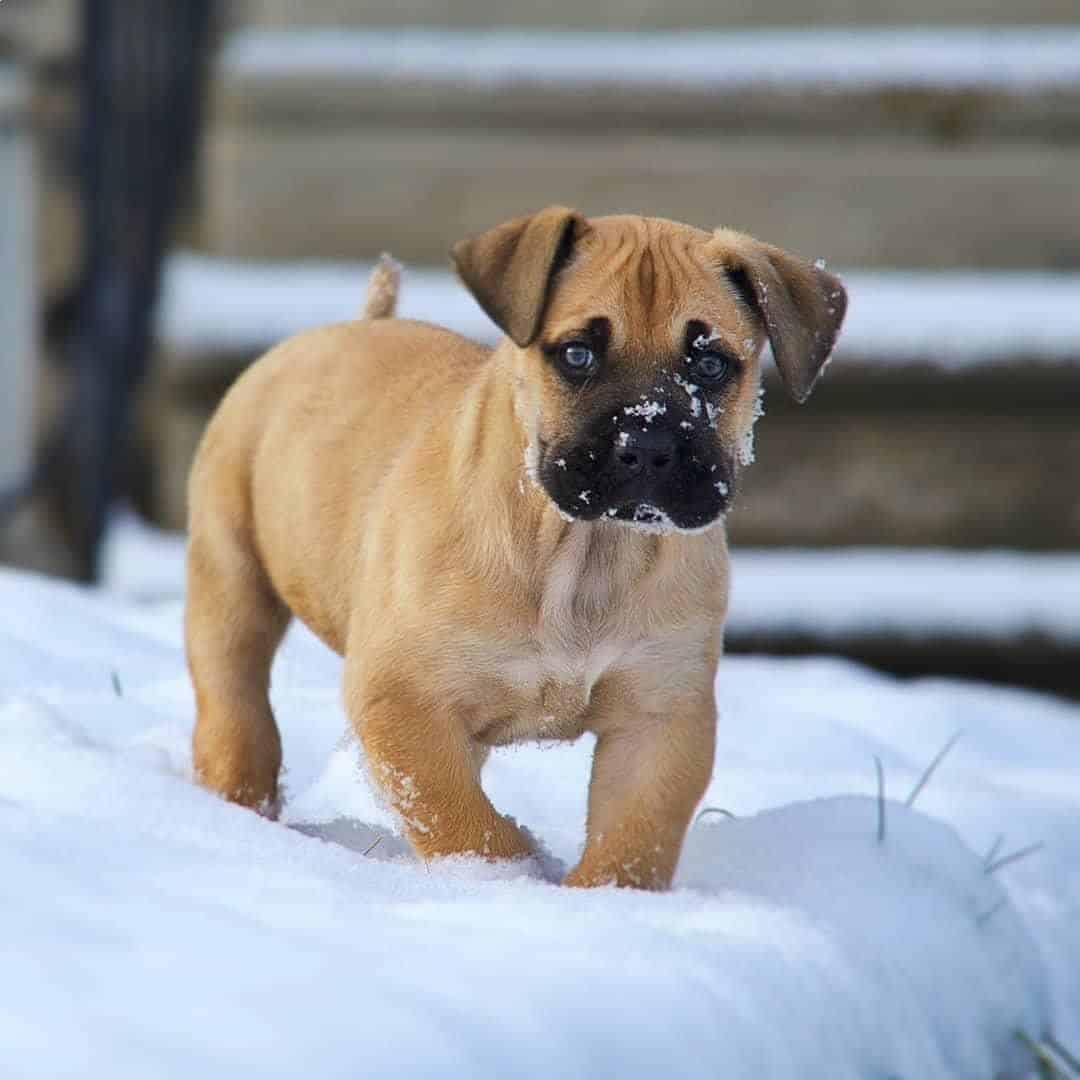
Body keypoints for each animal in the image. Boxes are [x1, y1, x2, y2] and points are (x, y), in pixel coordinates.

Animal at [183, 208, 842, 885]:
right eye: (577, 354)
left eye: (710, 365)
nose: (648, 444)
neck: (584, 551)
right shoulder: (403, 701)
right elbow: (465, 824)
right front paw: (512, 876)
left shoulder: (660, 717)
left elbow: (634, 839)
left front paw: (601, 898)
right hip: (231, 577)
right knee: (235, 698)